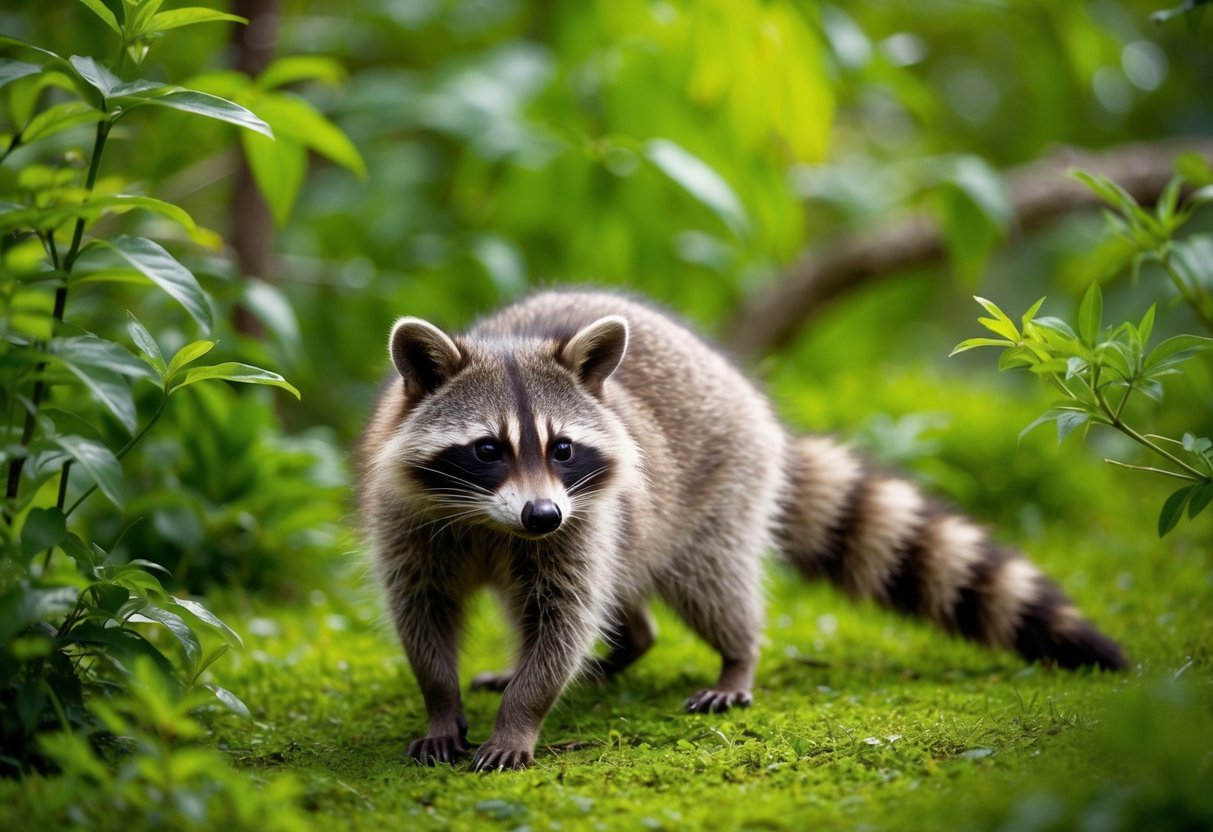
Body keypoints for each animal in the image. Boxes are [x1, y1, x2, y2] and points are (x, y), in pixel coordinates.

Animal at [358, 289, 1125, 772]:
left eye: (562, 448)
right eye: (488, 449)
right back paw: (625, 646)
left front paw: (523, 711)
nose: (541, 516)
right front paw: (441, 705)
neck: (487, 520)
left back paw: (736, 655)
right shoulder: (409, 519)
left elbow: (563, 619)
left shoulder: (580, 516)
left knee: (709, 585)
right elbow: (421, 614)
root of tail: (745, 394)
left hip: (718, 489)